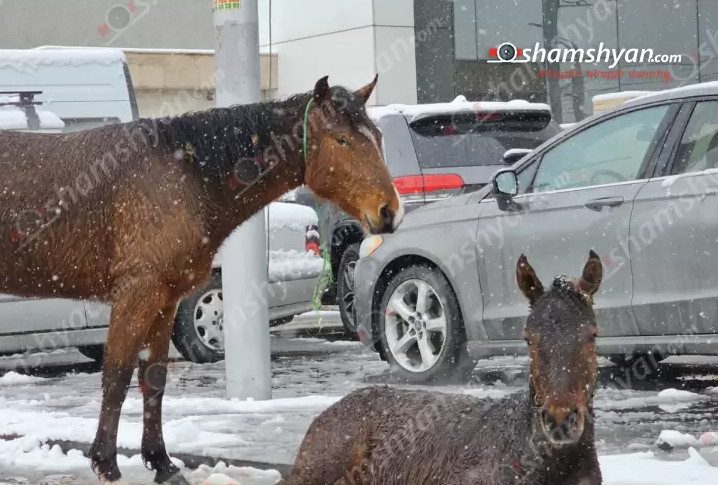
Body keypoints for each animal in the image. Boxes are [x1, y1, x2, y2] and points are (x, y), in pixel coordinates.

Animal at [0, 76, 402, 484]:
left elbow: (154, 377)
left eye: (378, 136)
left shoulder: (164, 300)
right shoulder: (138, 292)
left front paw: (162, 463)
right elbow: (117, 375)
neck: (184, 173)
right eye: (341, 139)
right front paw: (106, 464)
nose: (389, 212)